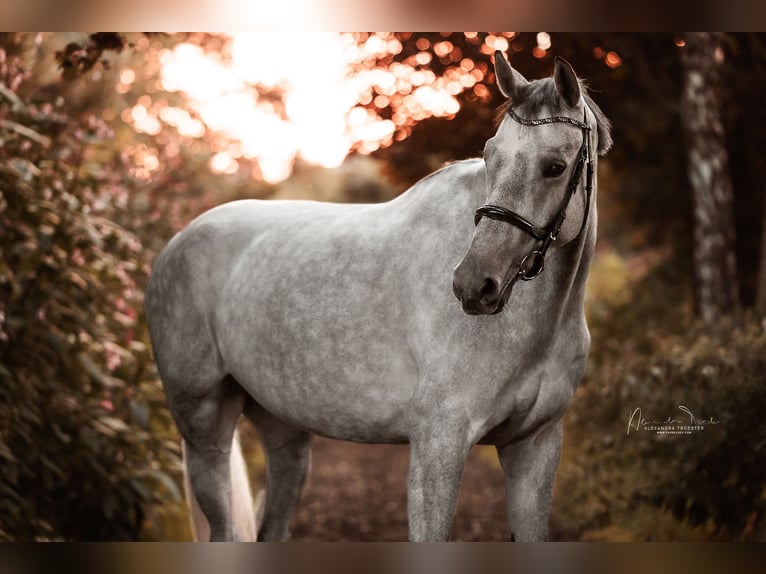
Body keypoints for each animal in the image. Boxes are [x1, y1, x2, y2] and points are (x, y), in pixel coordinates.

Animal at [146, 51, 612, 544]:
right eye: (490, 156)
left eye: (554, 166)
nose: (473, 285)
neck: (534, 327)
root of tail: (179, 241)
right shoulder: (438, 444)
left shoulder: (535, 446)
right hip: (203, 428)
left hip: (284, 431)